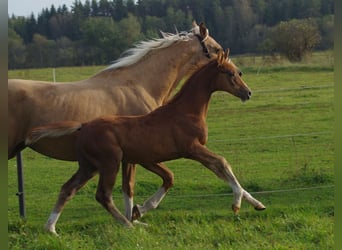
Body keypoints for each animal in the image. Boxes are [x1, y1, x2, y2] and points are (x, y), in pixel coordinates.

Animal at [8, 22, 223, 221]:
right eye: (218, 50)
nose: (229, 63)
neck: (139, 85)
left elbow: (130, 187)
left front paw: (133, 217)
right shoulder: (138, 154)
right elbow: (135, 186)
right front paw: (136, 214)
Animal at [27, 49, 268, 234]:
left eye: (239, 72)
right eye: (229, 73)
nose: (247, 92)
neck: (185, 111)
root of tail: (83, 126)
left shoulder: (151, 158)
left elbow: (175, 177)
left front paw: (258, 204)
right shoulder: (192, 148)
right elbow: (222, 163)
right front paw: (236, 204)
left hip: (89, 166)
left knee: (68, 188)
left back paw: (51, 228)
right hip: (109, 164)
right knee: (102, 195)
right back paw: (128, 226)